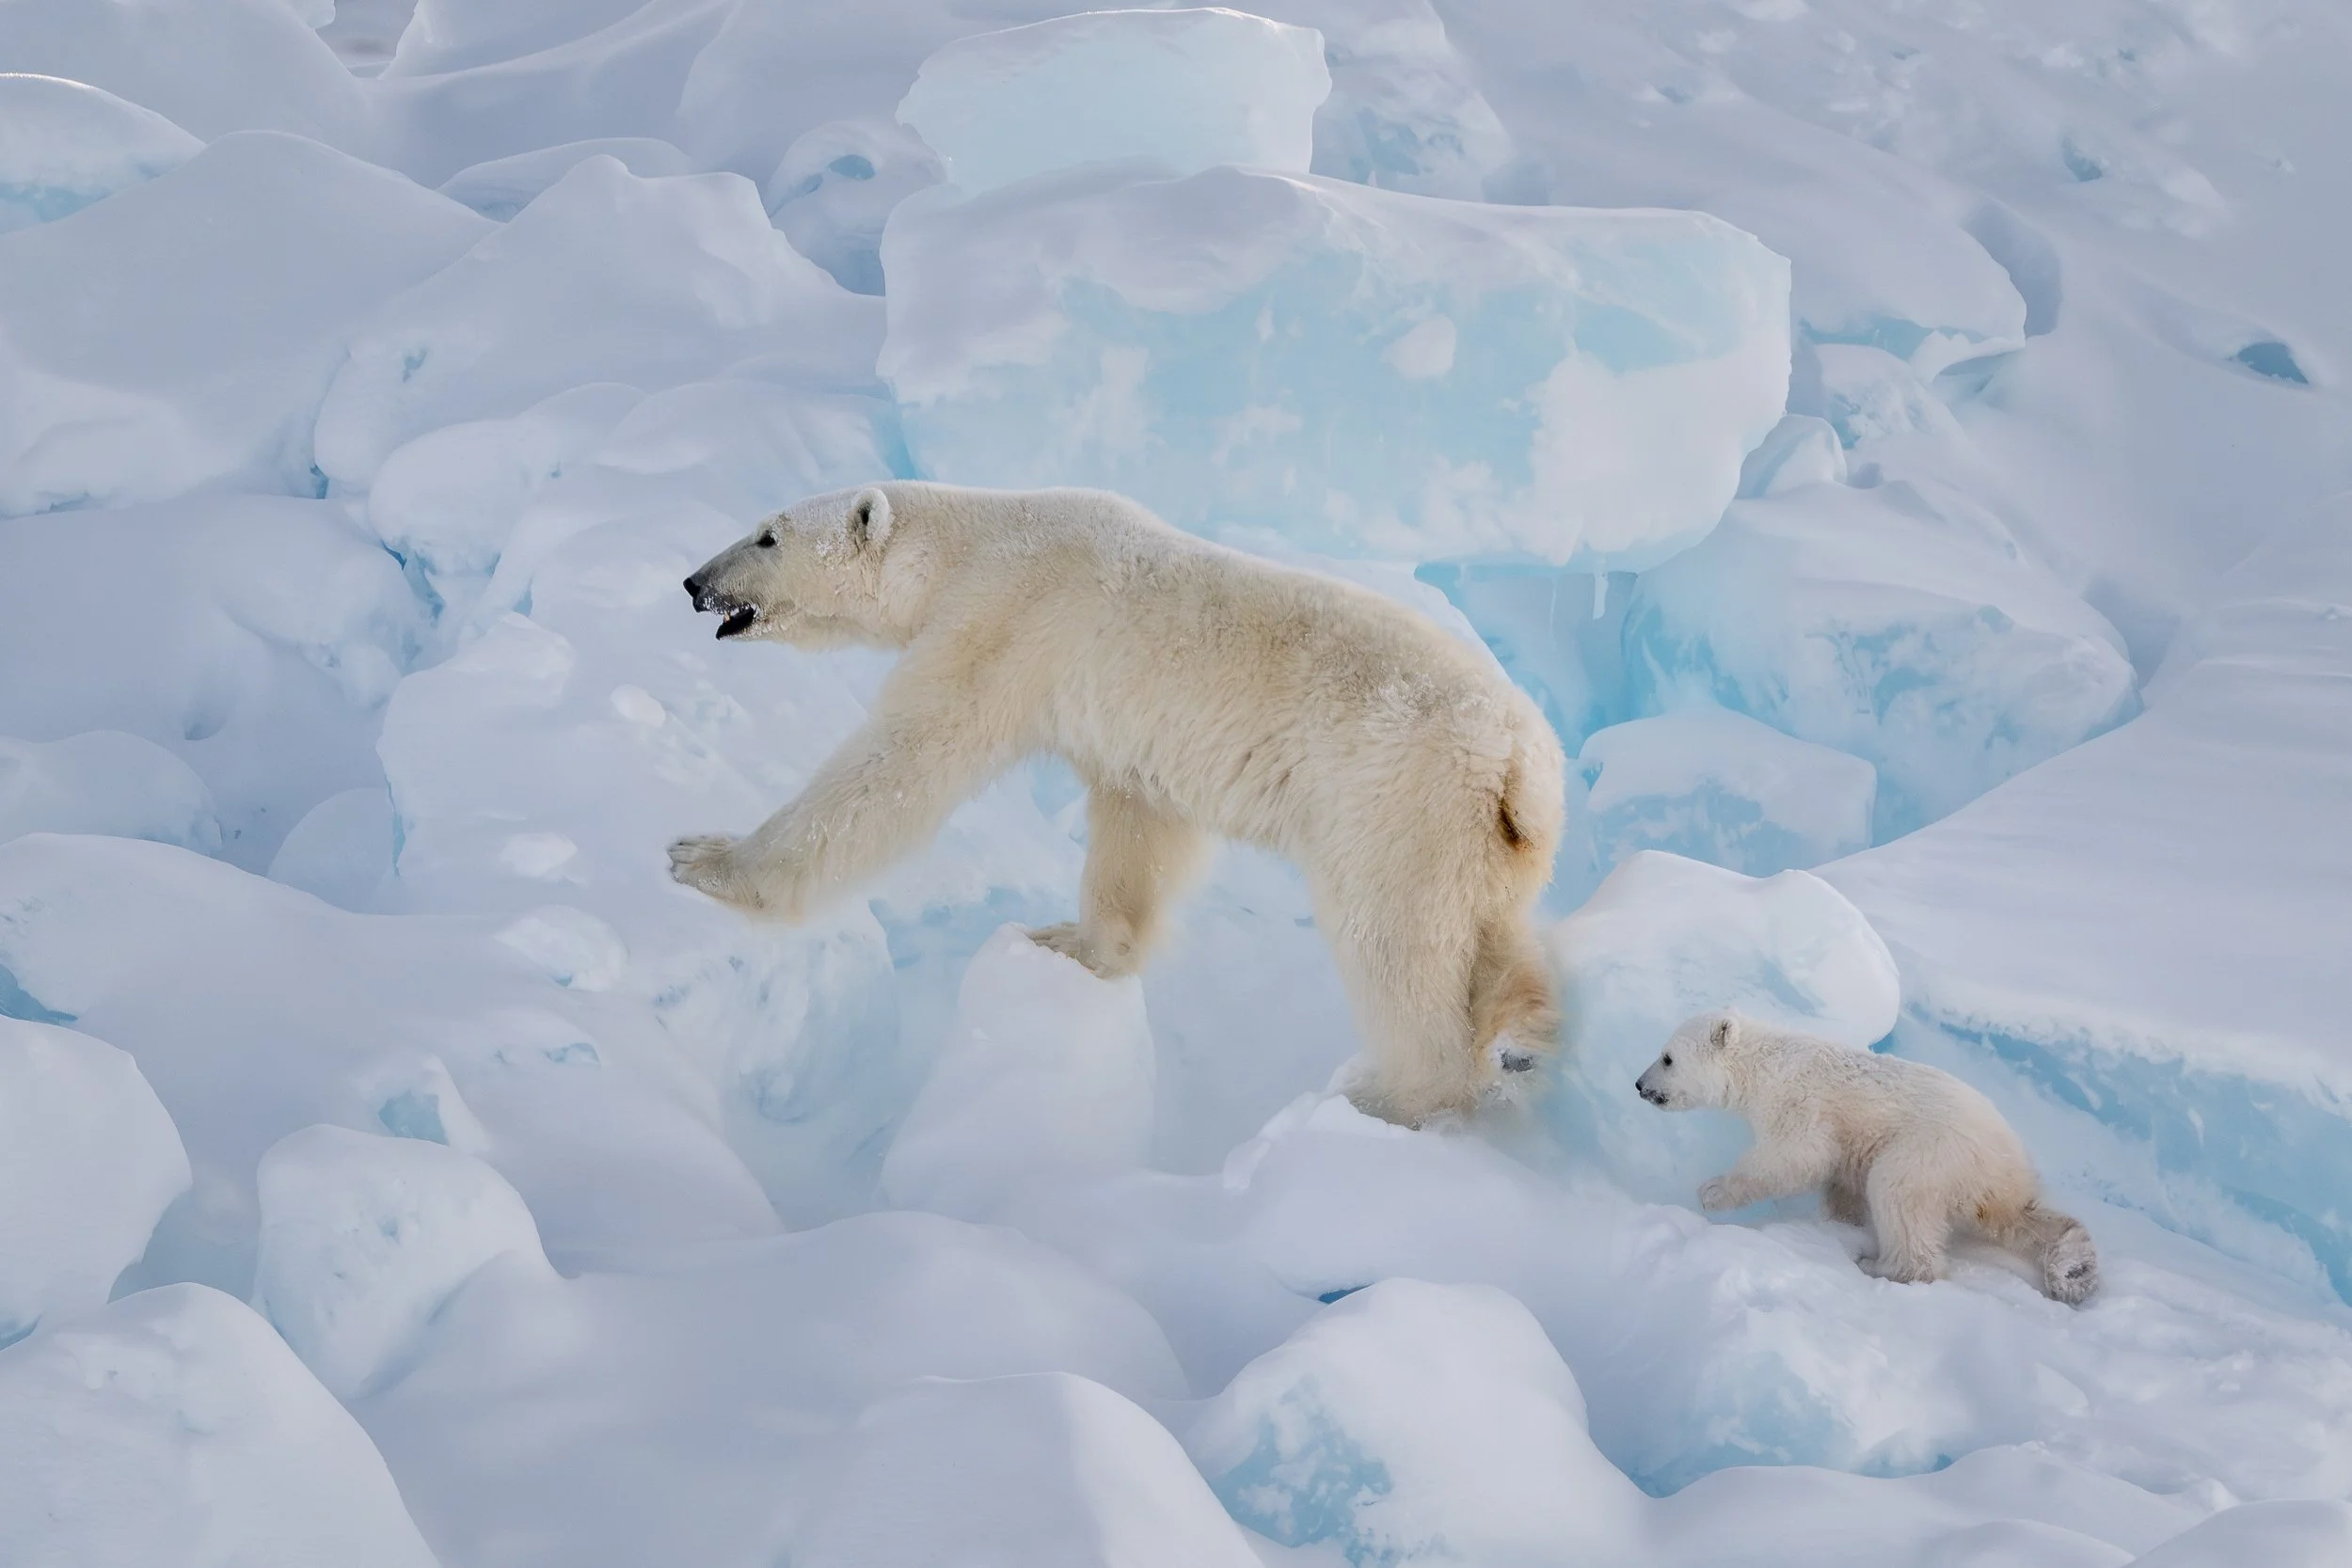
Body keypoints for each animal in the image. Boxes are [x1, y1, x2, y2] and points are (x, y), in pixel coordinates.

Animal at [667, 480, 1566, 1126]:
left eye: (768, 534)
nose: (693, 583)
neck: (970, 541)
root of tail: (1522, 761)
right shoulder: (1131, 738)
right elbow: (1139, 829)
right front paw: (1071, 941)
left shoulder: (1003, 624)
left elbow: (902, 759)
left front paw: (708, 860)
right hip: (1486, 841)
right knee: (1496, 940)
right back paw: (1523, 1041)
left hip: (1397, 802)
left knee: (1396, 946)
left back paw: (1386, 1097)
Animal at [1635, 1010, 2099, 1305]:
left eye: (1667, 1057)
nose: (1639, 1085)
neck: (1763, 1064)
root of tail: (2003, 1155)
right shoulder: (1844, 1141)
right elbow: (1840, 1179)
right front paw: (1839, 1220)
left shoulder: (1800, 1103)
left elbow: (1796, 1154)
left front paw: (1712, 1191)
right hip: (1993, 1183)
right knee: (2019, 1218)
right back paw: (2074, 1271)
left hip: (1930, 1152)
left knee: (1899, 1194)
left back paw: (1880, 1266)